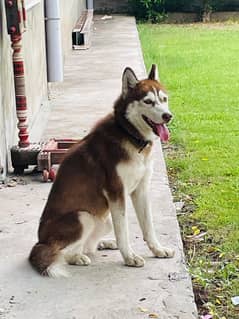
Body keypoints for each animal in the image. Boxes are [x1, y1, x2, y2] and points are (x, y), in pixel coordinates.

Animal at [29, 65, 175, 278]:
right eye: (148, 101)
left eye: (164, 99)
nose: (168, 116)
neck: (129, 135)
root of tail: (39, 242)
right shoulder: (116, 193)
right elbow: (123, 231)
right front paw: (129, 257)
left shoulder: (141, 190)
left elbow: (148, 226)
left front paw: (157, 249)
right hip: (83, 217)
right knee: (62, 253)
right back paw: (77, 257)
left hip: (103, 221)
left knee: (88, 245)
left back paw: (103, 244)